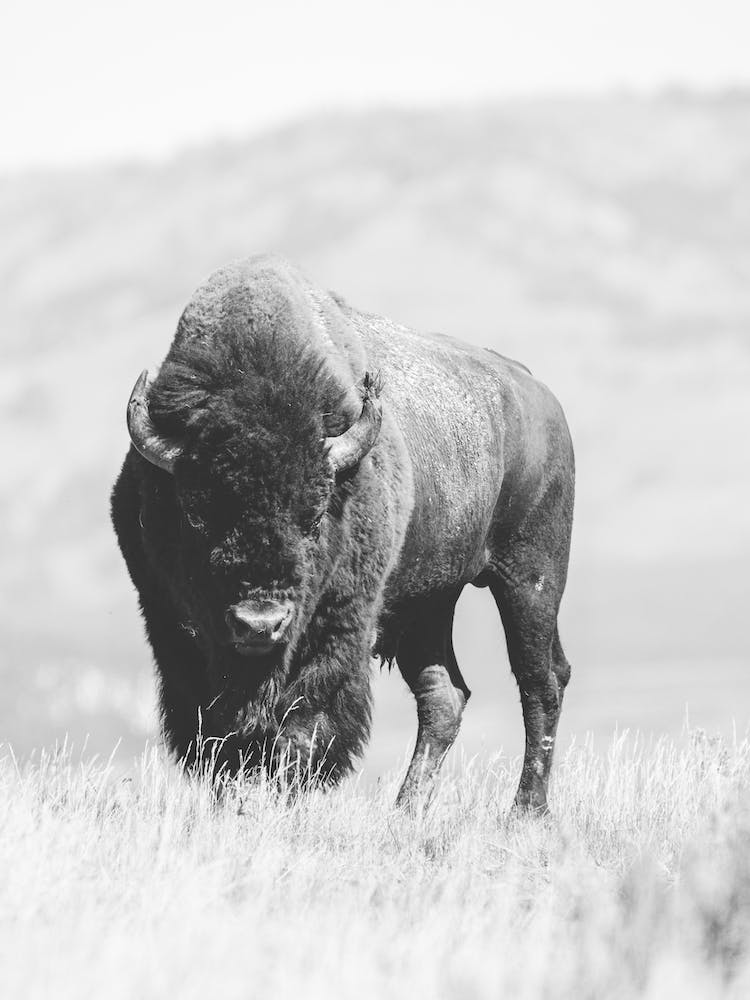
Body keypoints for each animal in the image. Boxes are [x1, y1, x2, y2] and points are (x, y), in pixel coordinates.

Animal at [111, 254, 574, 812]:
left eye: (313, 518)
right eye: (198, 518)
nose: (259, 625)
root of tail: (539, 395)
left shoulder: (339, 627)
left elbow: (303, 725)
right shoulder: (169, 622)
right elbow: (215, 736)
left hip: (530, 578)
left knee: (540, 681)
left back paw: (526, 811)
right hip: (429, 602)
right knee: (444, 695)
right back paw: (406, 811)